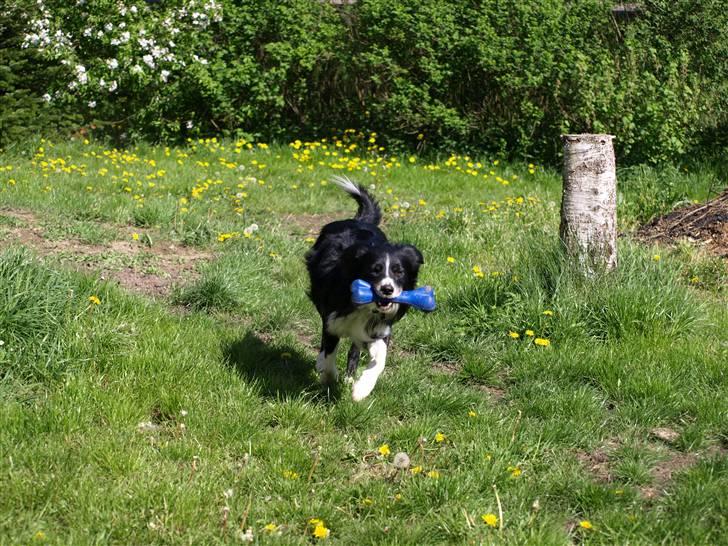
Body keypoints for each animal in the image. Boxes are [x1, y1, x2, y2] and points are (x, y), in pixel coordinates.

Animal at [304, 175, 424, 400]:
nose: (387, 290)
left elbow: (379, 359)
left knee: (354, 349)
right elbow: (329, 353)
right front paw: (327, 376)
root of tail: (359, 221)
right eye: (374, 270)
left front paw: (361, 389)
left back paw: (351, 377)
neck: (364, 308)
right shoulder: (333, 319)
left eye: (398, 271)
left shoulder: (378, 329)